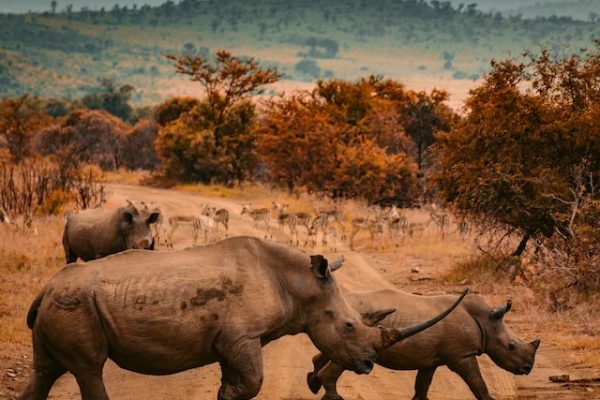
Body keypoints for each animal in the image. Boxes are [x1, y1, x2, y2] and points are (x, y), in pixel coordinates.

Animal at [18, 238, 466, 400]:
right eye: (349, 326)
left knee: (45, 370)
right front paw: (228, 394)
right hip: (76, 305)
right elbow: (252, 382)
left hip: (62, 305)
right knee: (89, 370)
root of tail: (44, 289)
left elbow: (238, 379)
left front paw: (223, 393)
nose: (369, 365)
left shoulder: (230, 340)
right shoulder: (241, 337)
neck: (298, 284)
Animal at [308, 290, 540, 400]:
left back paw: (313, 383)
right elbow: (477, 383)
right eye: (511, 346)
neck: (486, 320)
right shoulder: (461, 356)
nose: (527, 368)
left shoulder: (430, 360)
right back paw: (331, 395)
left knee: (331, 352)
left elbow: (422, 387)